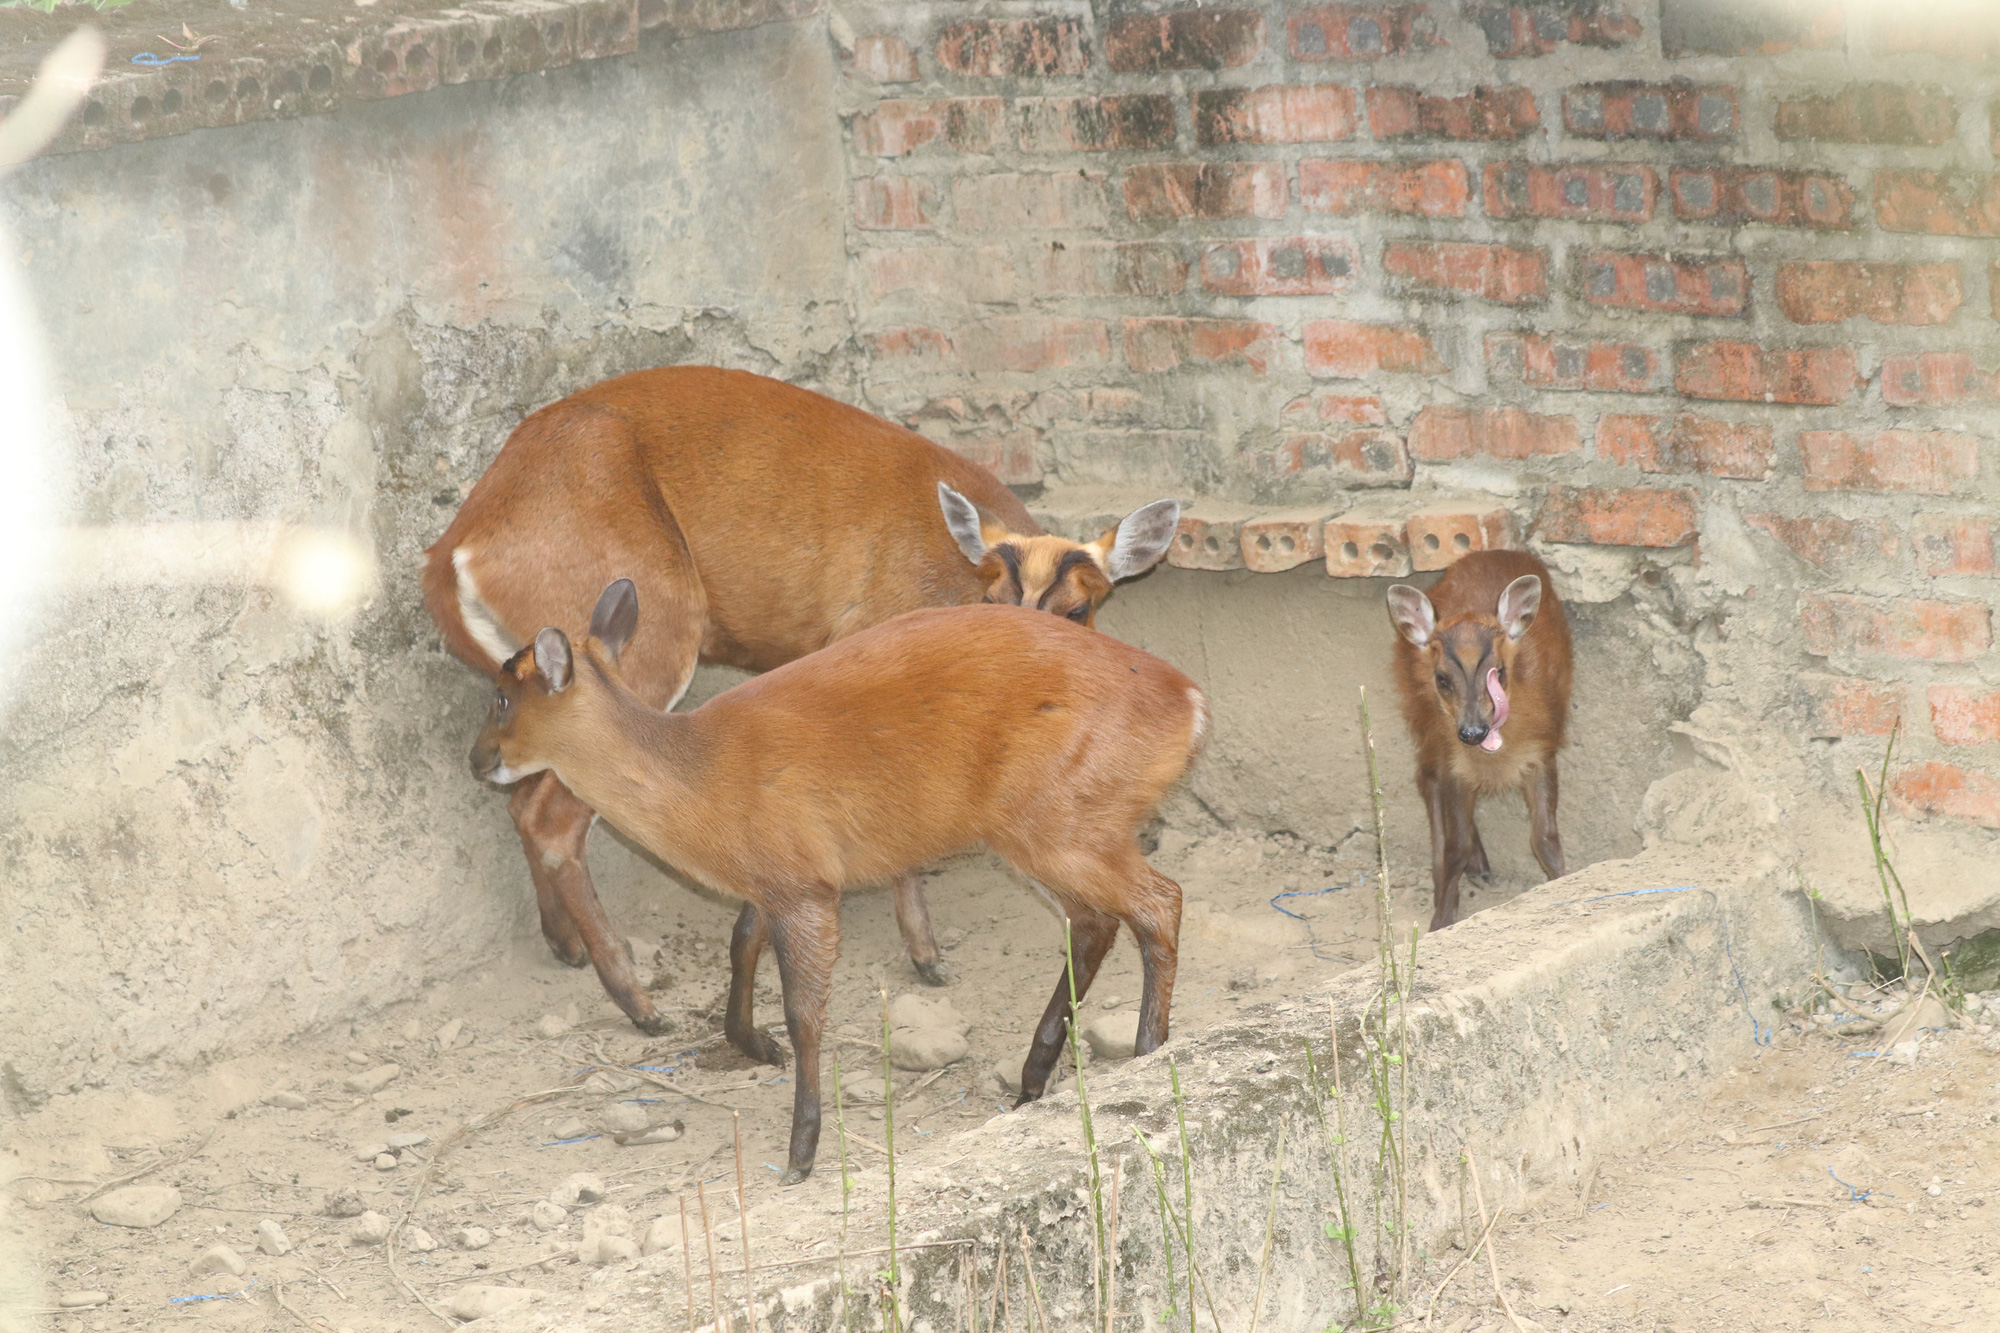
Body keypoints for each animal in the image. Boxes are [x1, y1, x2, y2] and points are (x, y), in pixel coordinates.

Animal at [422, 364, 1168, 1024]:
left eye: (1079, 610)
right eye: (993, 600)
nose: (1034, 657)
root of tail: (452, 550)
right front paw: (926, 956)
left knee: (522, 799)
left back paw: (567, 947)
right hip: (647, 634)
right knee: (552, 815)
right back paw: (640, 1005)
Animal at [476, 576, 1208, 1176]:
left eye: (502, 697)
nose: (476, 759)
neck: (701, 781)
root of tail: (1190, 703)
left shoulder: (803, 883)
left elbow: (805, 1012)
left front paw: (800, 1151)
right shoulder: (778, 874)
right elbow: (740, 943)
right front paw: (753, 1043)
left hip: (1061, 820)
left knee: (1159, 901)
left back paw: (1147, 1052)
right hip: (1049, 829)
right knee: (1097, 920)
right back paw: (1034, 1078)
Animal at [1384, 544, 1568, 928]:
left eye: (1499, 671)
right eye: (1441, 679)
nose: (1472, 732)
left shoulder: (1542, 751)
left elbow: (1544, 837)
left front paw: (1563, 882)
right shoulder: (1452, 762)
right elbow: (1456, 847)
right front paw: (1441, 920)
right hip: (1421, 718)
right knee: (1426, 781)